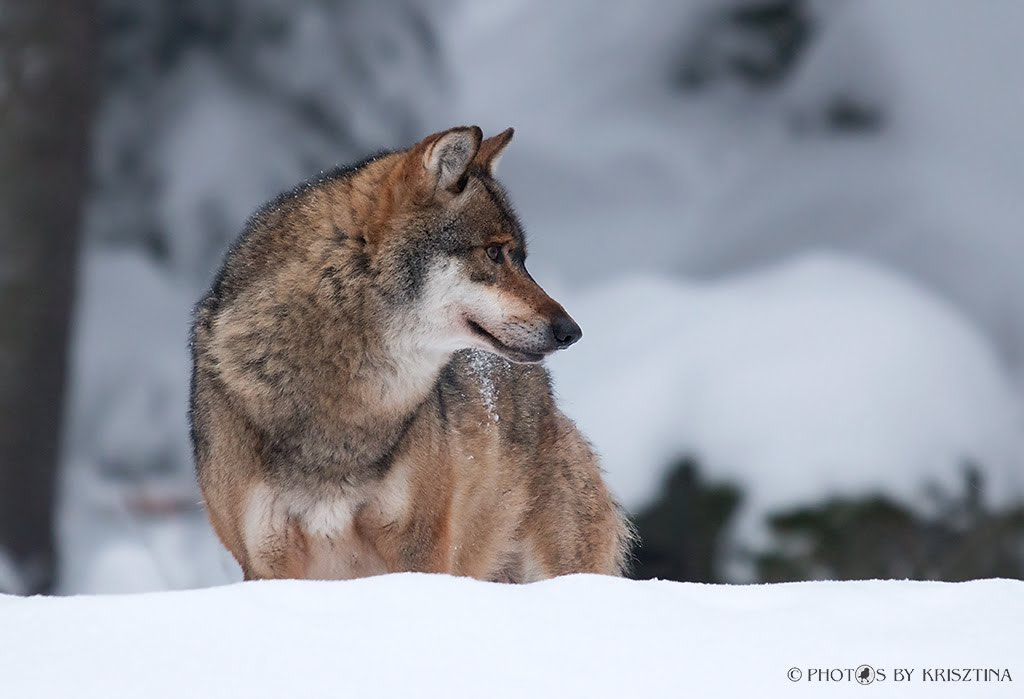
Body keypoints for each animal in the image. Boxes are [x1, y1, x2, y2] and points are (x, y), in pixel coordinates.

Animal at [190, 126, 632, 582]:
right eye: (494, 252)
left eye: (522, 258)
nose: (571, 331)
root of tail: (546, 396)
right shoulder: (267, 560)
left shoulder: (419, 548)